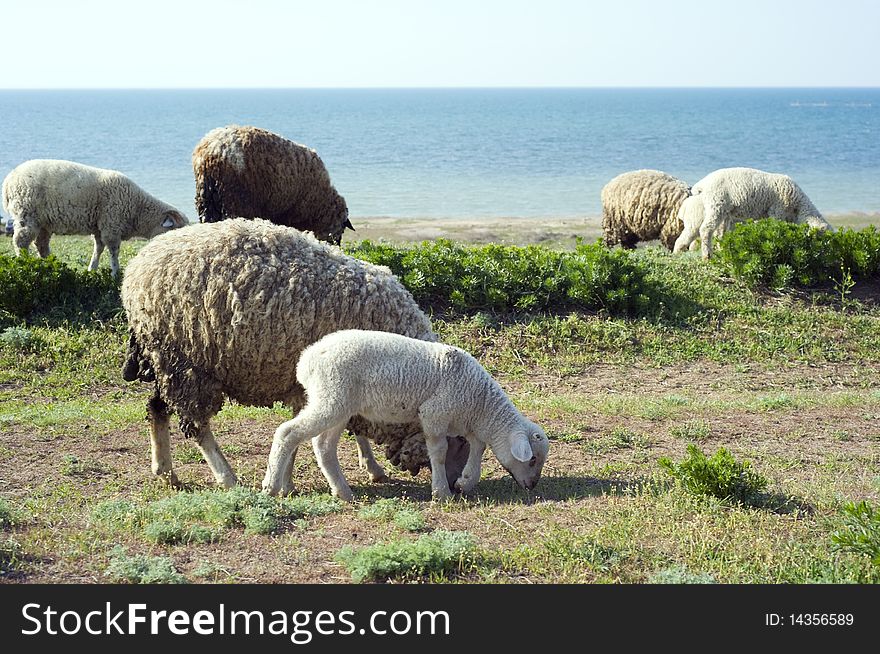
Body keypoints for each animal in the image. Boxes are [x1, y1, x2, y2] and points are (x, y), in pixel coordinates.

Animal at [2, 162, 188, 280]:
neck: (137, 208)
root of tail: (8, 181)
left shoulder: (100, 226)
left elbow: (98, 248)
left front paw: (92, 268)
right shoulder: (111, 224)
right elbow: (113, 251)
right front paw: (115, 274)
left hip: (43, 222)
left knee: (41, 244)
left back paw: (50, 265)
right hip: (26, 214)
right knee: (21, 242)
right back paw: (25, 263)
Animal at [262, 330, 552, 504]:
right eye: (532, 459)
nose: (532, 485)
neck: (481, 404)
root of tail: (306, 360)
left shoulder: (466, 423)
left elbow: (478, 448)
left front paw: (465, 482)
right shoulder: (435, 414)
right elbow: (439, 453)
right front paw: (441, 492)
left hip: (338, 404)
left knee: (323, 446)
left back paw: (343, 491)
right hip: (331, 397)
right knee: (288, 432)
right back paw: (272, 486)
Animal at [672, 168, 832, 260]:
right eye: (822, 239)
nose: (824, 255)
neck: (798, 208)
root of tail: (702, 184)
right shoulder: (777, 211)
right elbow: (775, 229)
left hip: (724, 211)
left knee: (719, 234)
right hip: (716, 203)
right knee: (706, 229)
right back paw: (707, 256)